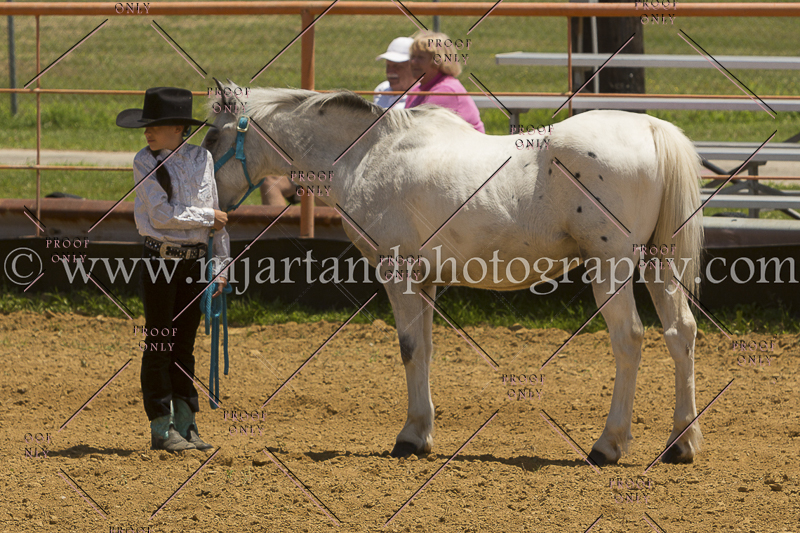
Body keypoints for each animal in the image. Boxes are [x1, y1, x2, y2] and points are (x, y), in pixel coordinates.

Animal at [202, 80, 704, 465]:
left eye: (210, 141)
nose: (213, 210)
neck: (368, 156)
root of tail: (651, 128)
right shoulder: (425, 281)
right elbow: (424, 349)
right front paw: (422, 432)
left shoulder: (399, 274)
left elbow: (409, 349)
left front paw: (409, 437)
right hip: (658, 264)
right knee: (680, 333)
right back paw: (680, 444)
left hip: (610, 266)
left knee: (629, 339)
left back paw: (608, 445)